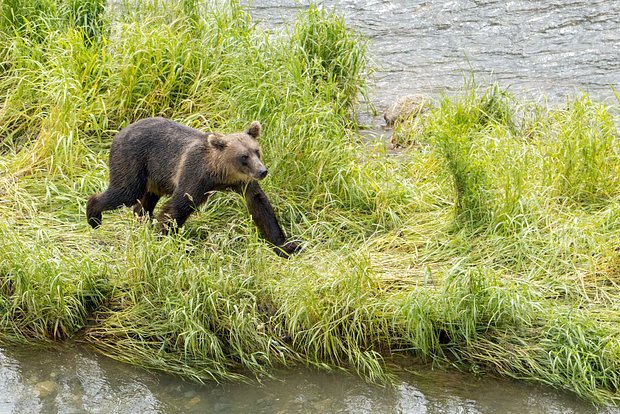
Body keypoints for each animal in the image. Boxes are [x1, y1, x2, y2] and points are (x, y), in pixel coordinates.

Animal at [86, 116, 300, 258]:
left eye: (257, 151)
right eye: (243, 157)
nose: (262, 171)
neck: (221, 174)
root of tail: (120, 132)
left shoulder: (243, 182)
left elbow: (260, 205)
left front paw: (286, 246)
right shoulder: (195, 175)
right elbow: (178, 206)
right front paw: (164, 239)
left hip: (154, 175)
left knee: (145, 200)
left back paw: (143, 219)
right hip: (133, 160)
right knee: (125, 192)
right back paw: (94, 216)